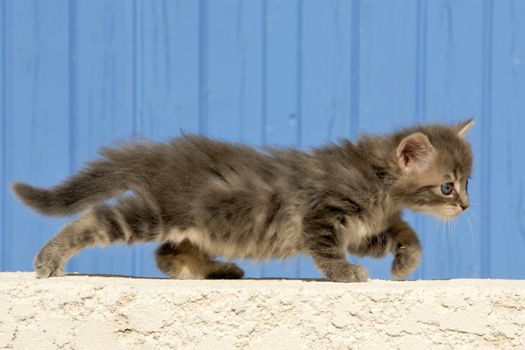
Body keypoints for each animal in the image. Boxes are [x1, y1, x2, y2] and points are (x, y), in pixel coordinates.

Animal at [12, 119, 472, 284]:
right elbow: (328, 252)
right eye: (447, 187)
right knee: (94, 221)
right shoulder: (320, 217)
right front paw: (346, 274)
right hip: (159, 211)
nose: (467, 207)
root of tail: (159, 155)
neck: (376, 179)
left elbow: (402, 231)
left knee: (166, 254)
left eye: (468, 181)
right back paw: (50, 258)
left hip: (192, 222)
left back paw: (215, 269)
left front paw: (405, 261)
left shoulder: (360, 227)